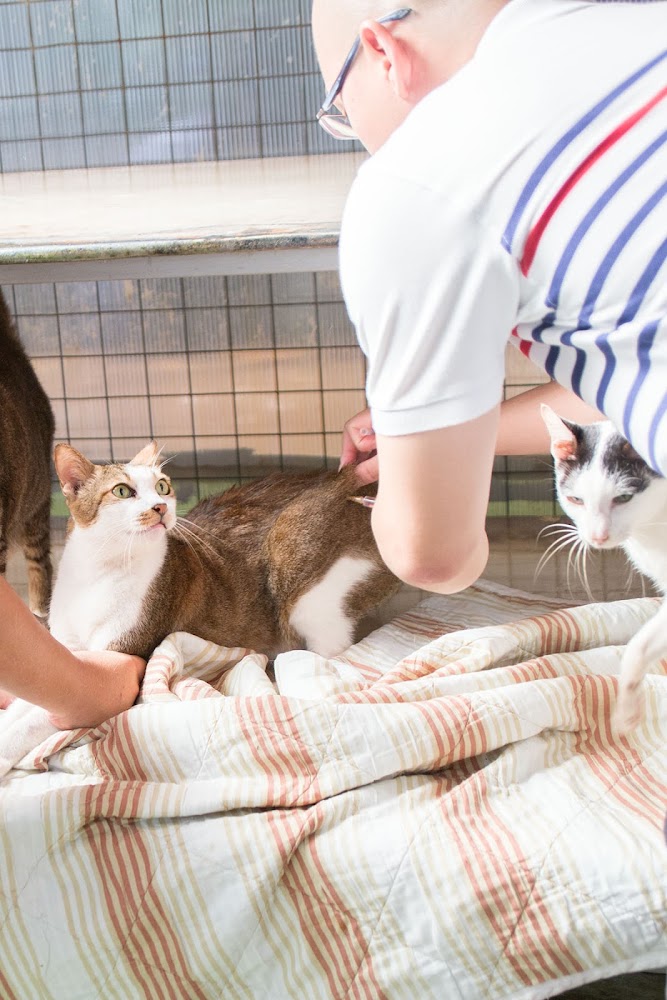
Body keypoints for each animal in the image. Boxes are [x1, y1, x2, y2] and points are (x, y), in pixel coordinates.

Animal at [48, 441, 400, 662]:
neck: (98, 571)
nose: (160, 507)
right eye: (122, 491)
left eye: (162, 486)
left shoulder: (121, 646)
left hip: (302, 576)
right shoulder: (67, 643)